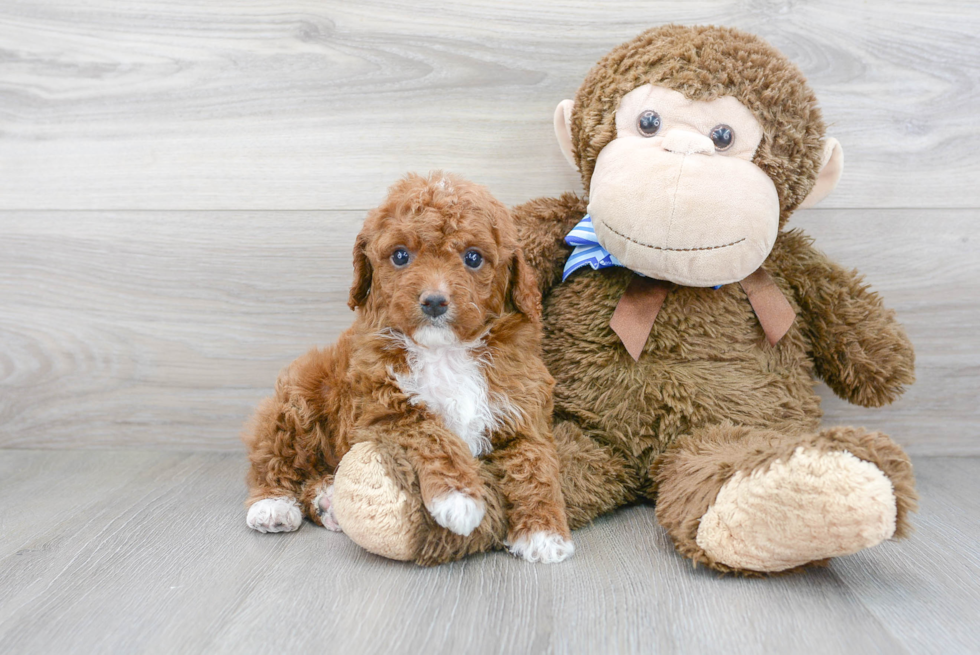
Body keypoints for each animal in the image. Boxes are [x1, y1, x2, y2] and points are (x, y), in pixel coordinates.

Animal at [242, 173, 576, 564]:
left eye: (473, 258)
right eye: (401, 256)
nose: (434, 301)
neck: (445, 351)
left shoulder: (523, 410)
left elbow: (536, 465)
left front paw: (545, 532)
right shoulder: (382, 406)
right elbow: (431, 431)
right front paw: (459, 498)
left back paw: (327, 501)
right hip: (298, 401)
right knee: (273, 456)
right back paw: (272, 506)